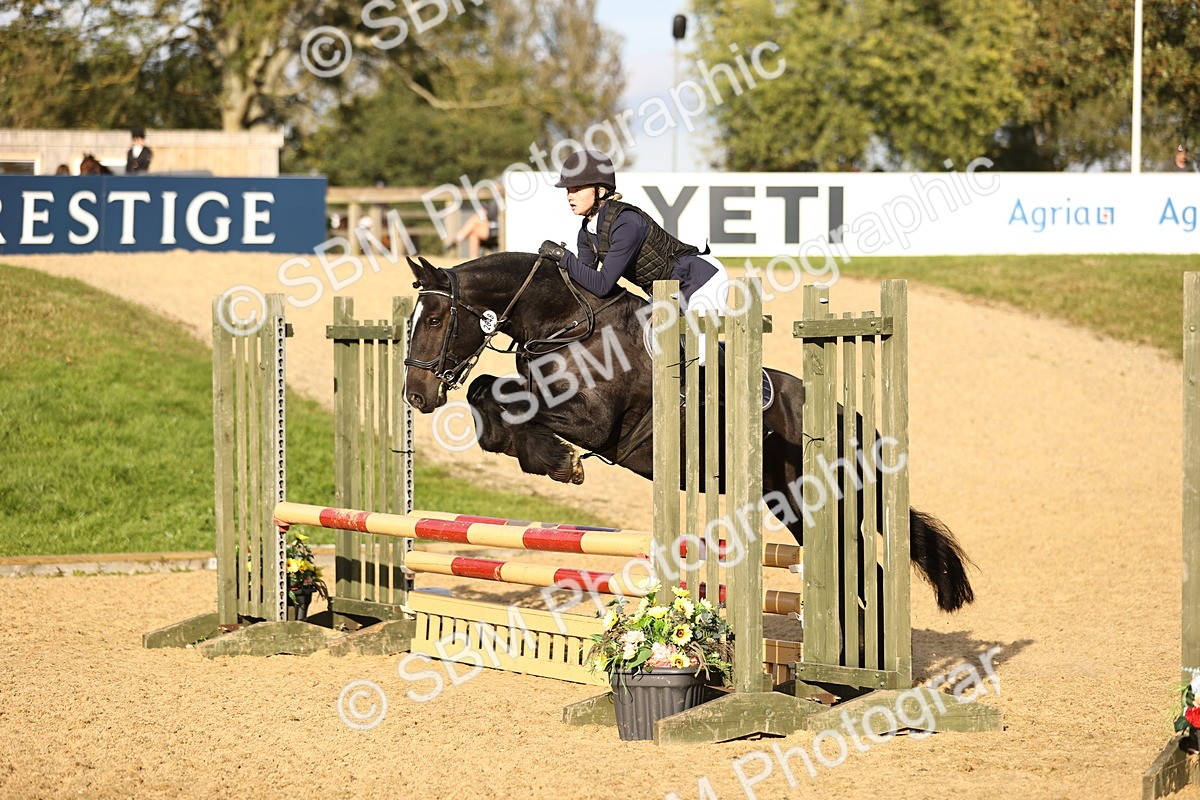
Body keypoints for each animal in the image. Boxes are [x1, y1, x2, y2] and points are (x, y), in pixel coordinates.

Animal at [402, 252, 975, 613]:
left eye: (434, 318)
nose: (416, 396)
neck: (568, 323)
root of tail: (850, 419)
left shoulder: (595, 422)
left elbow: (521, 408)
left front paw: (559, 462)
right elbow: (487, 392)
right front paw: (538, 456)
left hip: (823, 504)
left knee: (861, 574)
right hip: (792, 506)